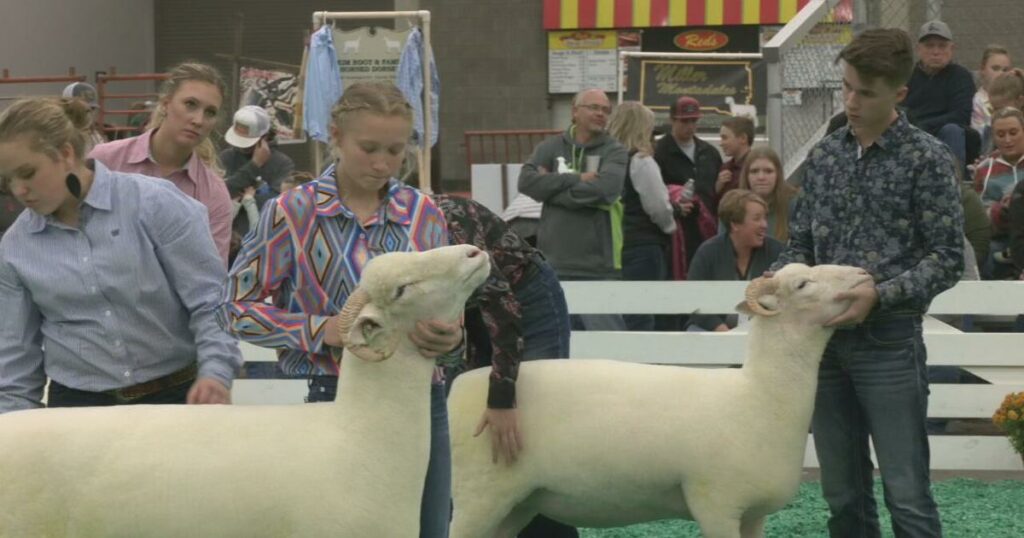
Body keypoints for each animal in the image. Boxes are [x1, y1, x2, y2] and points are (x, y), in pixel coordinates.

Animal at [452, 262, 868, 532]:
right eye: (803, 284)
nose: (865, 275)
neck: (759, 395)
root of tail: (460, 386)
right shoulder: (716, 503)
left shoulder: (753, 513)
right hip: (478, 497)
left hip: (517, 506)